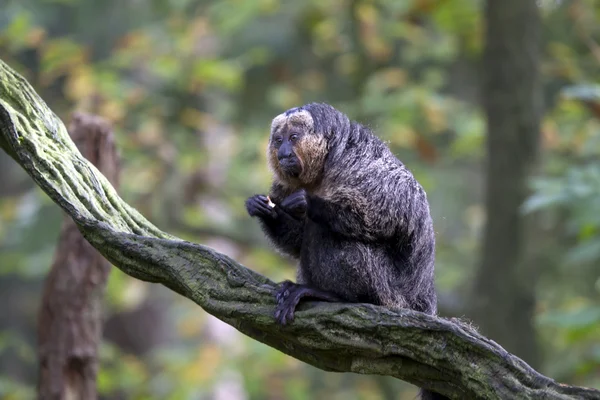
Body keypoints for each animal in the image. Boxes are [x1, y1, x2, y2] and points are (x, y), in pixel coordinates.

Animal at [246, 104, 448, 400]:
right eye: (278, 140)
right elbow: (294, 241)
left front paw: (309, 203)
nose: (282, 153)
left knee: (325, 231)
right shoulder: (282, 188)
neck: (325, 172)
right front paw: (264, 210)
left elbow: (375, 219)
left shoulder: (372, 173)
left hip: (391, 295)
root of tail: (422, 301)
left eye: (293, 137)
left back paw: (335, 295)